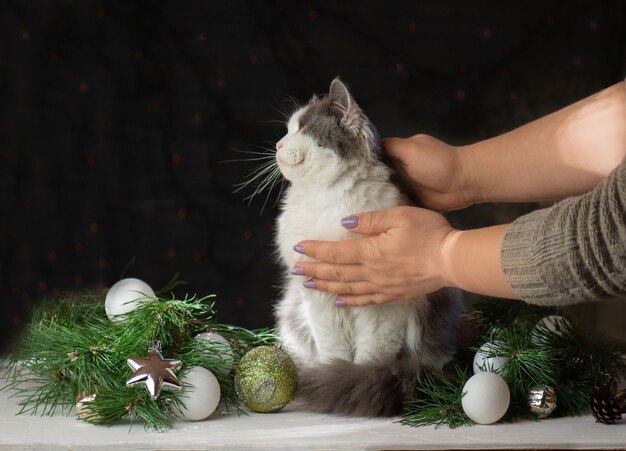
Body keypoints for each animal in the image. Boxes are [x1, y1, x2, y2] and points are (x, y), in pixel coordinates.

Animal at [270, 77, 460, 416]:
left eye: (302, 127)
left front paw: (352, 381)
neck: (327, 200)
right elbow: (333, 349)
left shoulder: (382, 308)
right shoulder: (318, 299)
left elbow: (372, 356)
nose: (277, 145)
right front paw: (333, 374)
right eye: (289, 128)